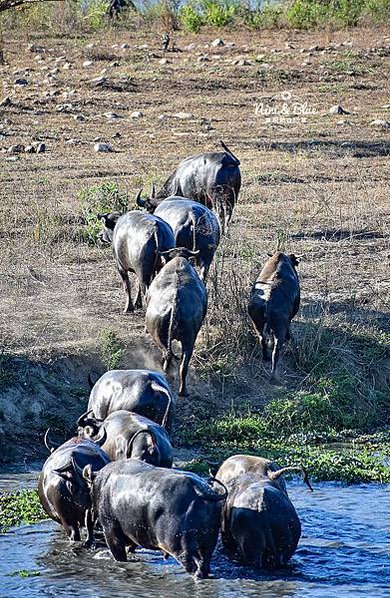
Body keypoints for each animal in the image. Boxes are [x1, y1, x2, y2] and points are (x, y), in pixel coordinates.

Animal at [81, 460, 229, 580]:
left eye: (89, 488)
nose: (89, 511)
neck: (101, 485)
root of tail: (200, 489)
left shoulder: (110, 529)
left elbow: (118, 553)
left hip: (178, 543)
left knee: (190, 562)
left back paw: (196, 576)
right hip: (210, 540)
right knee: (205, 560)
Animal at [145, 248, 207, 398]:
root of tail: (175, 302)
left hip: (161, 336)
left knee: (167, 354)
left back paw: (168, 374)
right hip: (189, 341)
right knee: (182, 365)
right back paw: (182, 390)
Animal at [248, 251, 300, 382]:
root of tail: (267, 300)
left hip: (257, 324)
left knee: (262, 339)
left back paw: (265, 358)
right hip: (279, 328)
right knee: (276, 351)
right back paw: (274, 376)